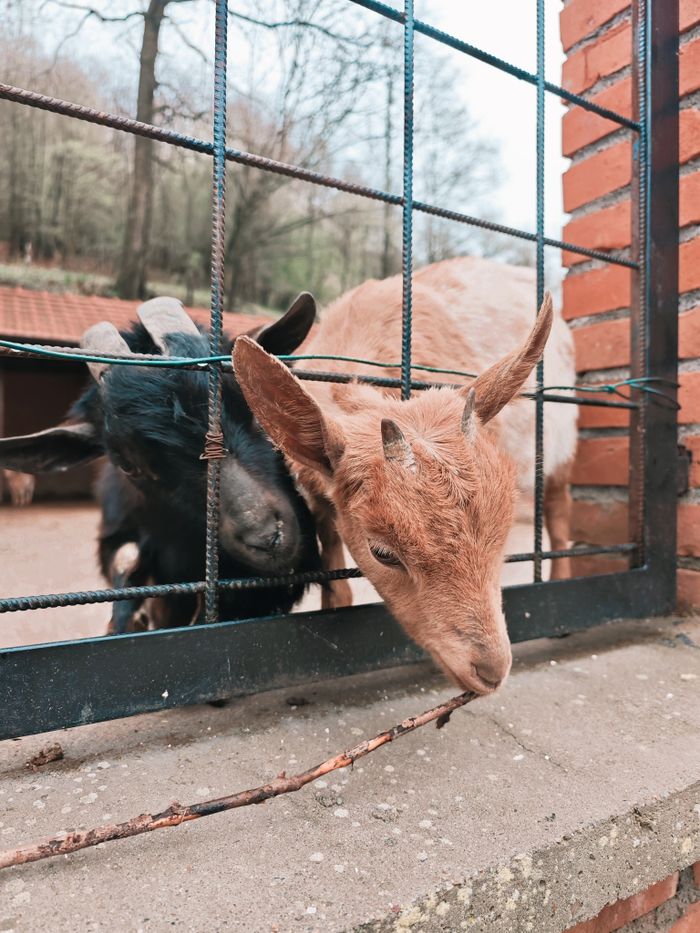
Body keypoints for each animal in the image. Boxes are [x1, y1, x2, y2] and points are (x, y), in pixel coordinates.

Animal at [233, 256, 577, 696]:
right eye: (382, 553)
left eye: (500, 536)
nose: (491, 670)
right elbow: (335, 568)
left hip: (562, 441)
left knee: (560, 516)